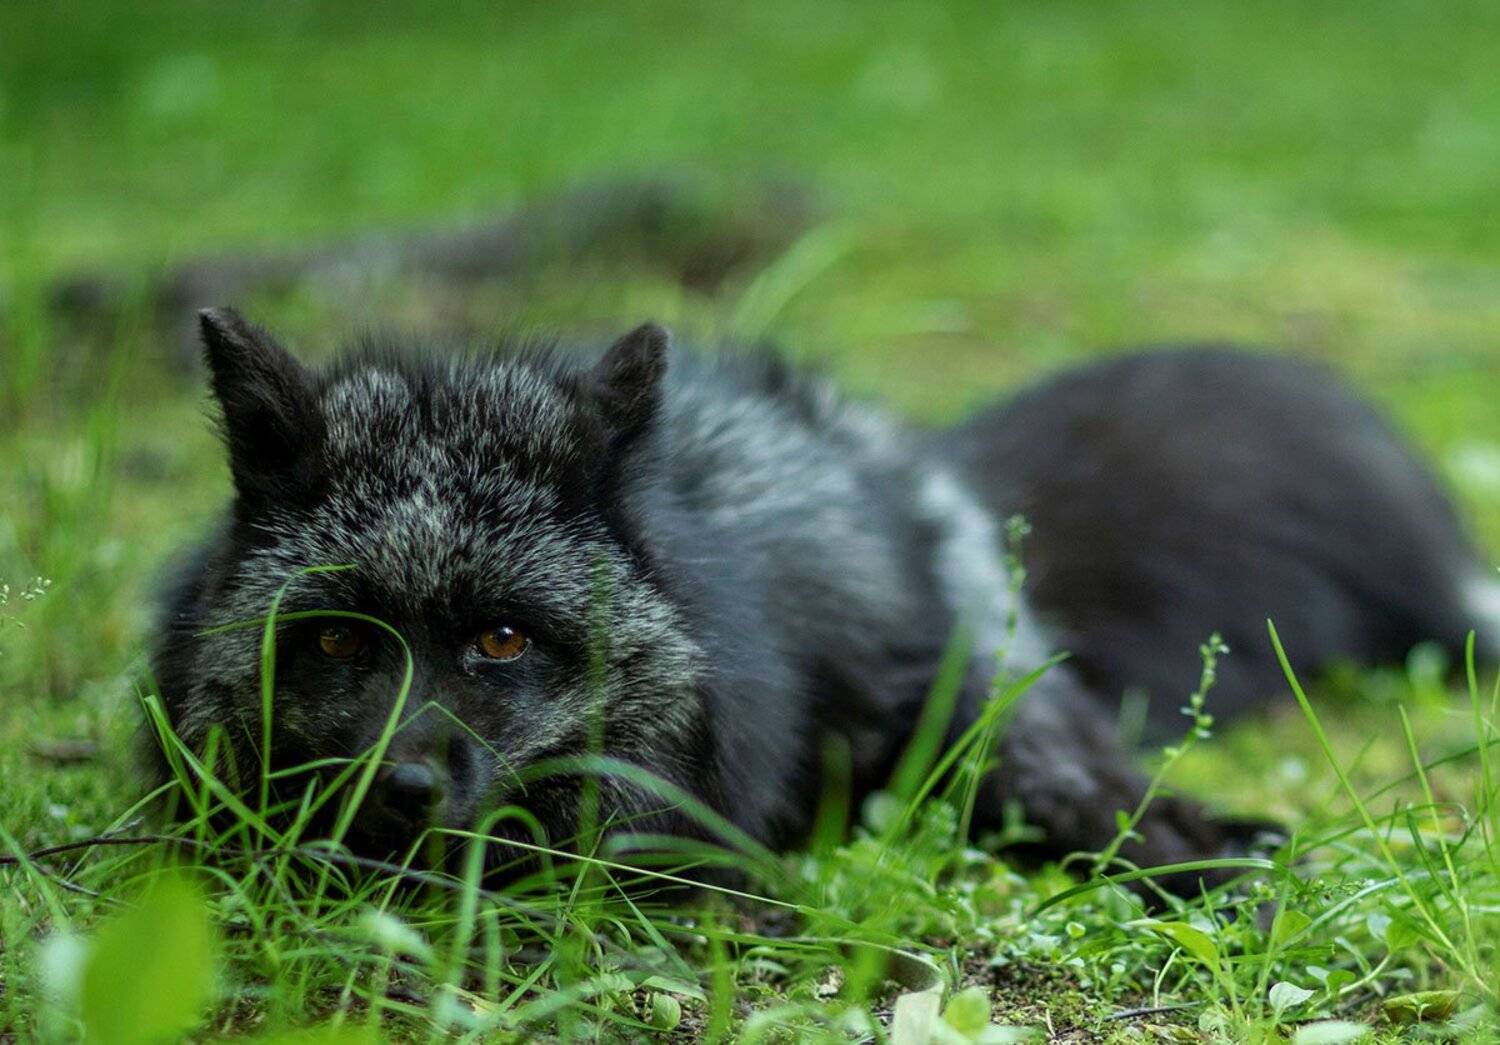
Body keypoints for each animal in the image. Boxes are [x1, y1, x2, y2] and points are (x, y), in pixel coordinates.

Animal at [149, 307, 1500, 886]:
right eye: (336, 642)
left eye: (502, 638)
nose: (402, 789)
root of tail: (909, 458)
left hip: (992, 740)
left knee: (1119, 805)